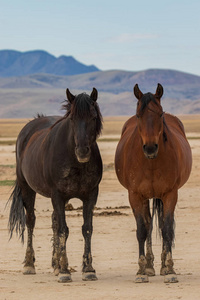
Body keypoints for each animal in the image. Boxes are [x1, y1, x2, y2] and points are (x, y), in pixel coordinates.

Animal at [115, 83, 192, 282]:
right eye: (138, 115)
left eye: (160, 114)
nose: (150, 148)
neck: (150, 162)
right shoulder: (135, 195)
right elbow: (142, 229)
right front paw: (142, 271)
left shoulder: (170, 193)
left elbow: (166, 228)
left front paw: (170, 269)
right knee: (149, 224)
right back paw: (150, 266)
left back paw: (163, 265)